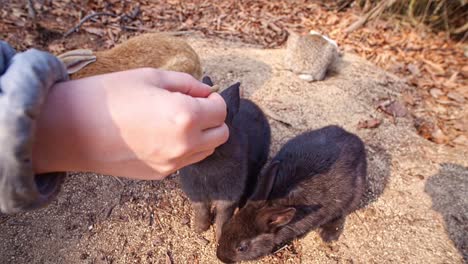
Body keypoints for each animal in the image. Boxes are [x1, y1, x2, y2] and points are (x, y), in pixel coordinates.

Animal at [178, 76, 270, 239]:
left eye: (225, 112)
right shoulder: (196, 193)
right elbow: (201, 210)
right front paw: (199, 229)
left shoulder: (229, 195)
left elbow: (223, 216)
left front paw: (220, 236)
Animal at [218, 125, 368, 262]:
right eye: (226, 226)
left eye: (241, 248)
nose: (220, 257)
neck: (274, 203)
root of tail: (354, 139)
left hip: (354, 195)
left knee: (341, 213)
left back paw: (328, 235)